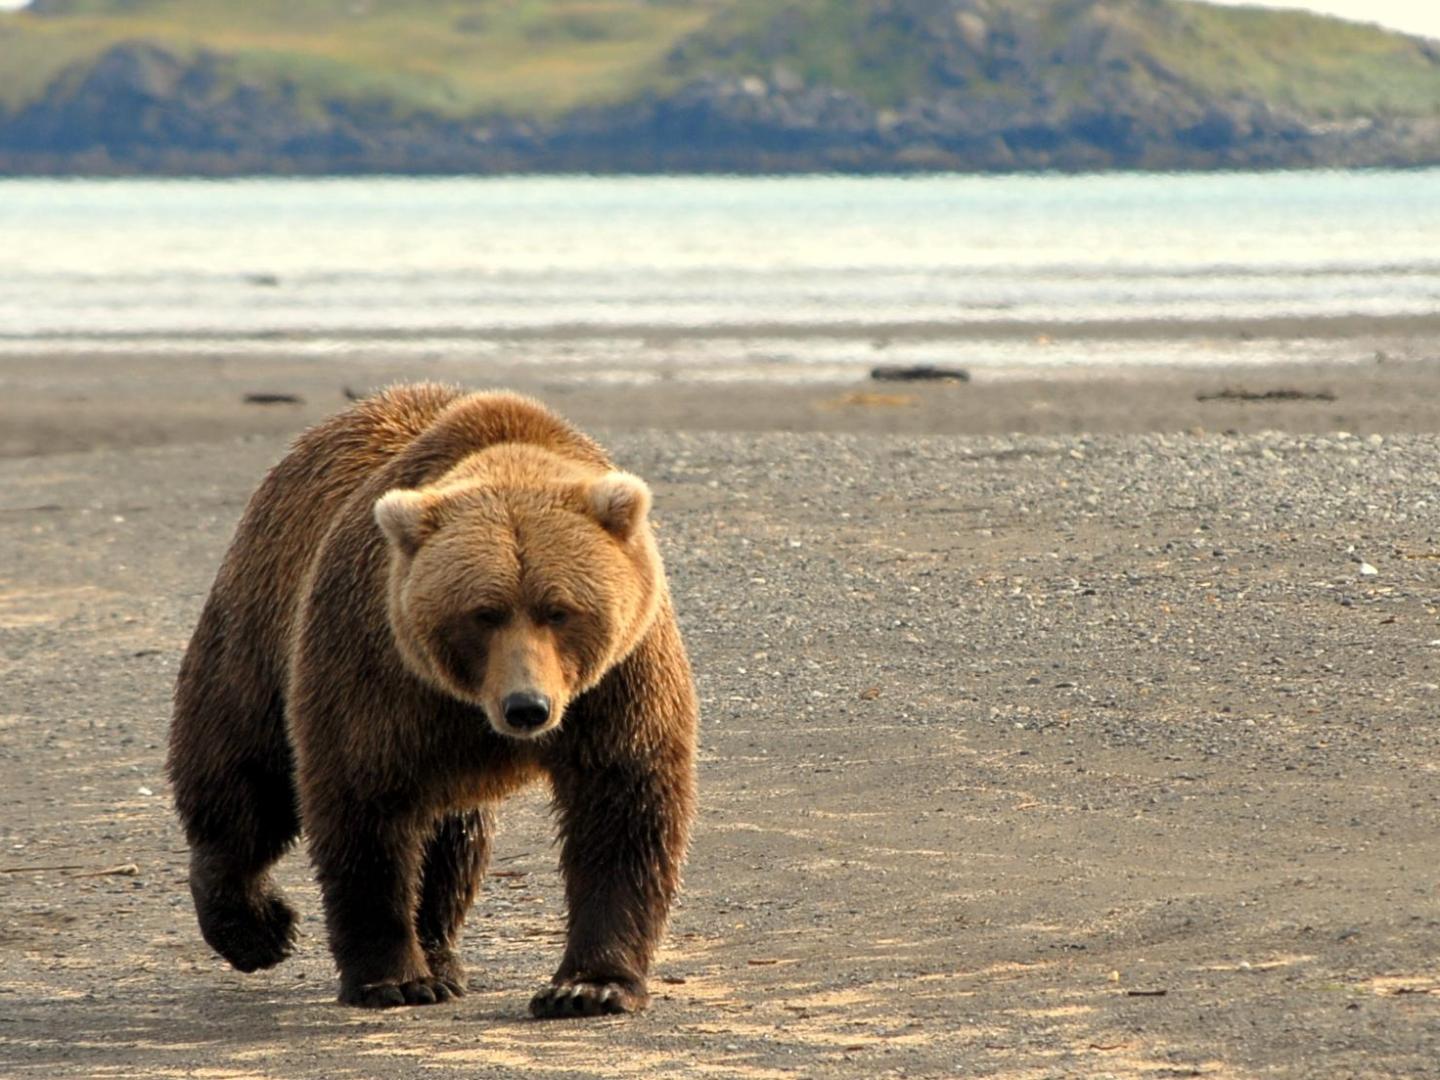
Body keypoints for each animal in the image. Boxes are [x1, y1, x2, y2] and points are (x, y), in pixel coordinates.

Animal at [167, 384, 698, 1017]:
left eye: (559, 610)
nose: (527, 707)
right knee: (244, 769)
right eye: (484, 612)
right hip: (261, 617)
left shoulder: (619, 680)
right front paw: (392, 979)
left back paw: (440, 952)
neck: (470, 702)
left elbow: (623, 803)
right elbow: (362, 803)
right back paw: (256, 926)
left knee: (452, 841)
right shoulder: (377, 667)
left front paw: (588, 986)